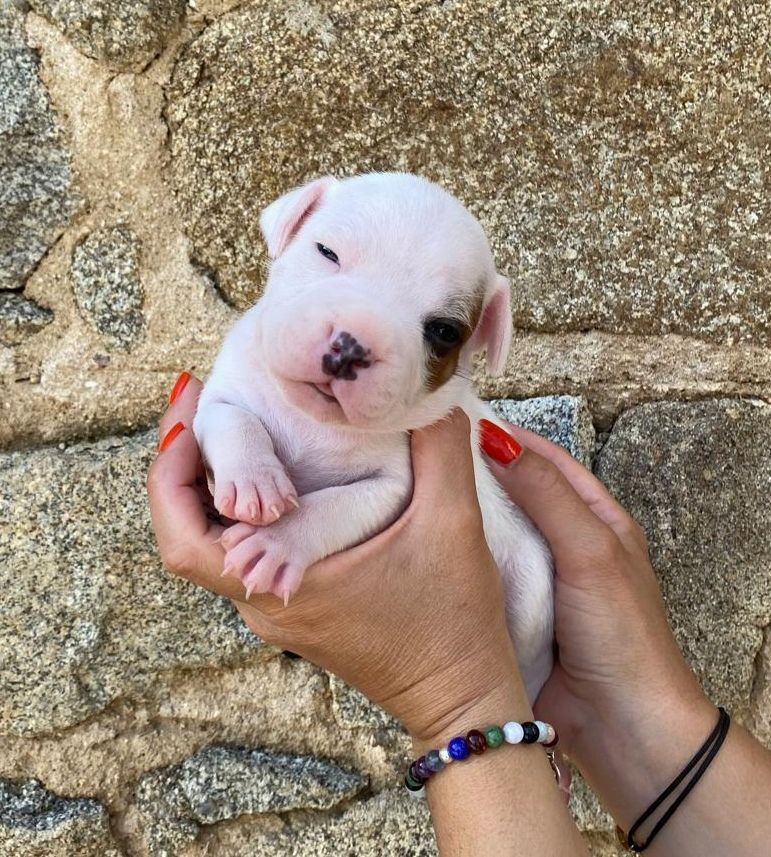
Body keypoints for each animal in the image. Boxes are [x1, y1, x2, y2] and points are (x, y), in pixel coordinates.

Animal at [196, 171, 552, 700]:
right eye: (327, 252)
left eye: (444, 331)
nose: (349, 347)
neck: (316, 420)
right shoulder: (221, 394)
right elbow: (232, 420)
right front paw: (254, 484)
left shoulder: (394, 488)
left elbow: (337, 507)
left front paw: (278, 543)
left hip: (531, 590)